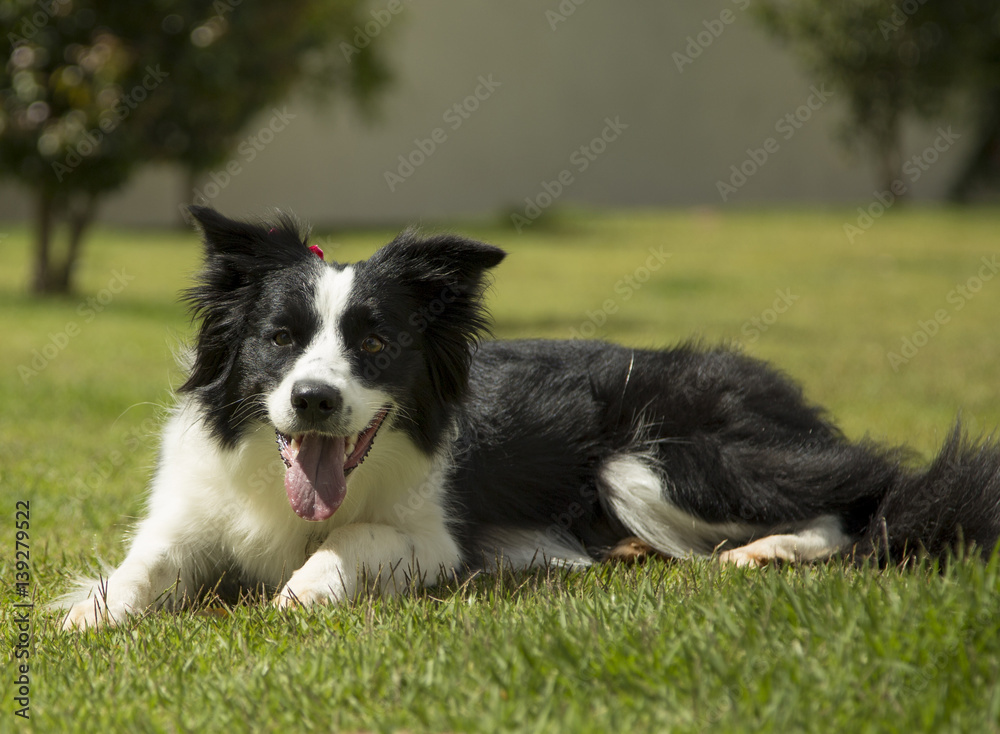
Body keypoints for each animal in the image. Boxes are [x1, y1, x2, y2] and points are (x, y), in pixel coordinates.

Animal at [62, 208, 1000, 632]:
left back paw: (766, 549)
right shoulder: (190, 512)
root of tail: (785, 392)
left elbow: (349, 542)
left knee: (871, 492)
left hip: (651, 459)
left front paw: (302, 589)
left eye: (376, 342)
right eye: (279, 340)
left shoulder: (433, 540)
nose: (314, 400)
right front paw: (90, 612)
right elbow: (146, 563)